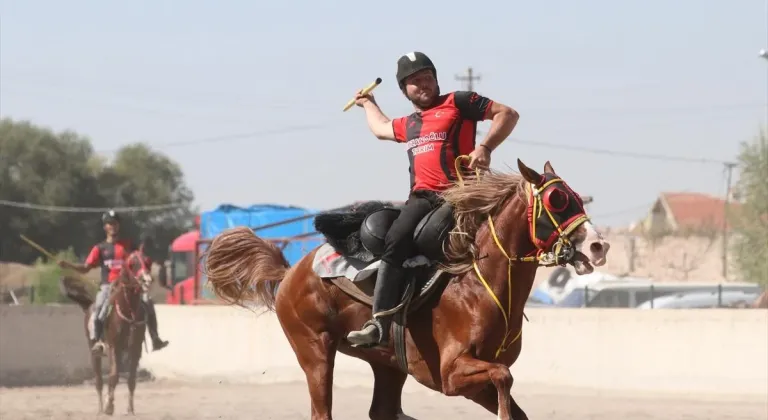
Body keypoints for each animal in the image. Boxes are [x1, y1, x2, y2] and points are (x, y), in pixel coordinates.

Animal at [61, 248, 152, 416]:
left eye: (148, 260)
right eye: (132, 263)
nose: (146, 280)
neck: (128, 312)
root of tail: (89, 305)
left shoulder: (135, 349)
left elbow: (131, 379)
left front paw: (130, 409)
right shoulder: (114, 348)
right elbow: (113, 376)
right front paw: (109, 406)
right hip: (94, 351)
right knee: (99, 381)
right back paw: (100, 409)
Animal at [204, 158, 612, 420]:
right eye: (557, 201)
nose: (598, 246)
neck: (477, 286)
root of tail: (291, 271)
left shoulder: (468, 381)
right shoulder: (451, 375)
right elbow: (503, 378)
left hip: (387, 365)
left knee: (381, 410)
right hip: (315, 353)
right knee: (323, 411)